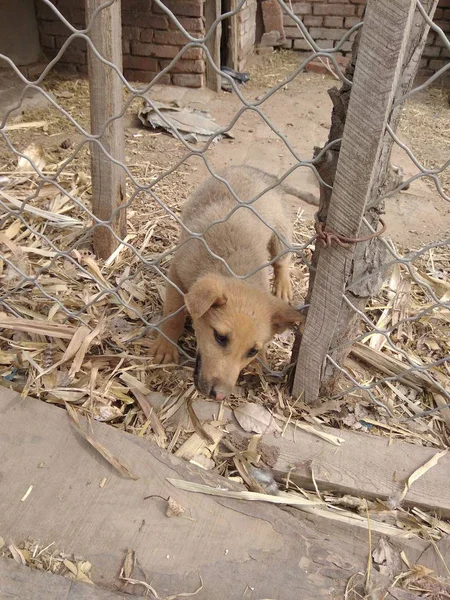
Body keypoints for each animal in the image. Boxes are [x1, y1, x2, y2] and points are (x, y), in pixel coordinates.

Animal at [149, 165, 304, 398]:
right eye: (220, 337)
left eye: (252, 350)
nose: (220, 395)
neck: (232, 269)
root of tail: (259, 172)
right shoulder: (177, 273)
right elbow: (173, 314)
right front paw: (165, 347)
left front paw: (259, 363)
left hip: (280, 234)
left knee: (282, 262)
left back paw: (283, 285)